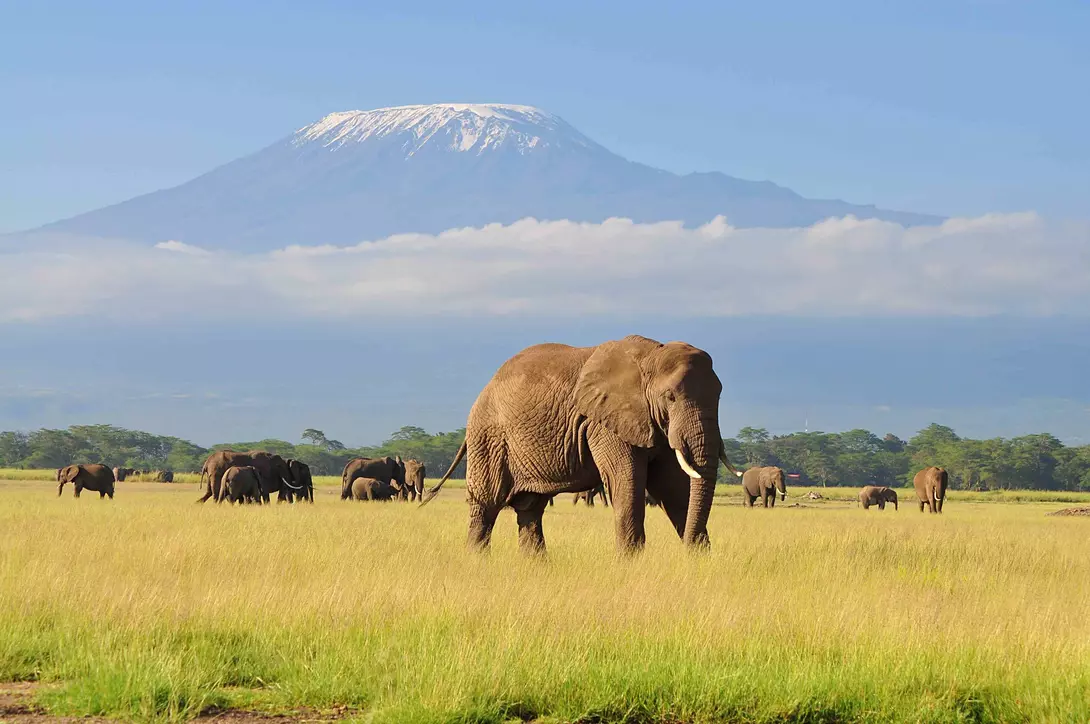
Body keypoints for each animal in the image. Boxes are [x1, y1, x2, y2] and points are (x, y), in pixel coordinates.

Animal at [421, 335, 743, 555]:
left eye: (719, 395)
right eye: (670, 397)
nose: (687, 549)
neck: (651, 355)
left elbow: (675, 487)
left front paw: (698, 559)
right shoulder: (603, 422)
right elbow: (627, 481)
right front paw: (631, 564)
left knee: (529, 510)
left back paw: (538, 569)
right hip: (489, 438)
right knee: (486, 505)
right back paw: (478, 561)